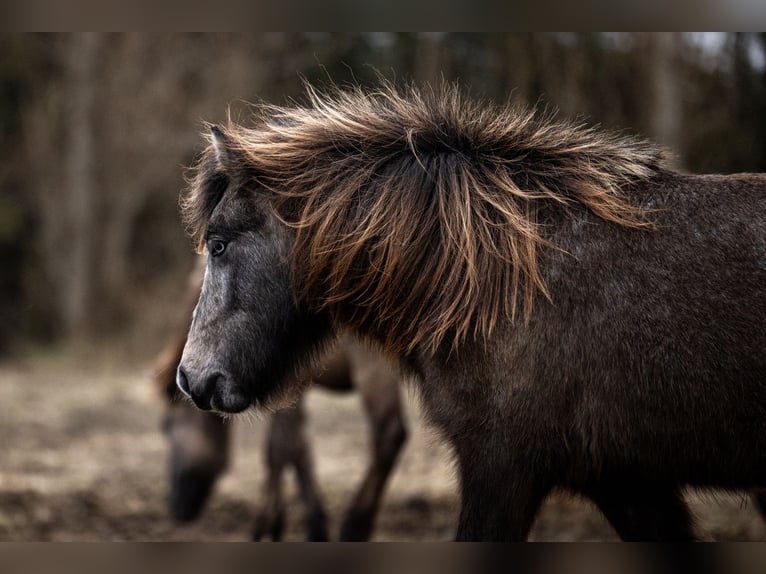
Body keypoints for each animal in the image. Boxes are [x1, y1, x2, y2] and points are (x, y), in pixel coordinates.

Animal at [155, 267, 407, 540]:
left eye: (167, 427)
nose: (175, 507)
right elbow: (289, 447)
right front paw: (286, 524)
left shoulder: (291, 386)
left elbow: (284, 448)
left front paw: (276, 525)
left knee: (390, 434)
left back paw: (355, 525)